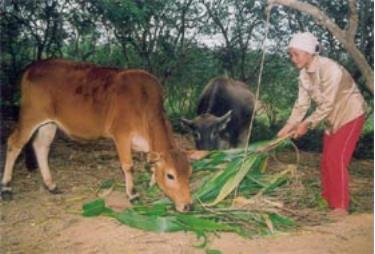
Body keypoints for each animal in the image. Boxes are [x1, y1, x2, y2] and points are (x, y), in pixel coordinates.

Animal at [0, 58, 194, 211]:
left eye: (190, 173)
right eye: (170, 175)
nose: (188, 206)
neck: (144, 102)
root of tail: (33, 67)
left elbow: (151, 165)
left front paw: (151, 183)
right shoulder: (121, 135)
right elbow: (128, 166)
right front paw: (133, 194)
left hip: (49, 123)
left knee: (41, 147)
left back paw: (51, 185)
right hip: (31, 115)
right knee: (14, 143)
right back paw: (7, 187)